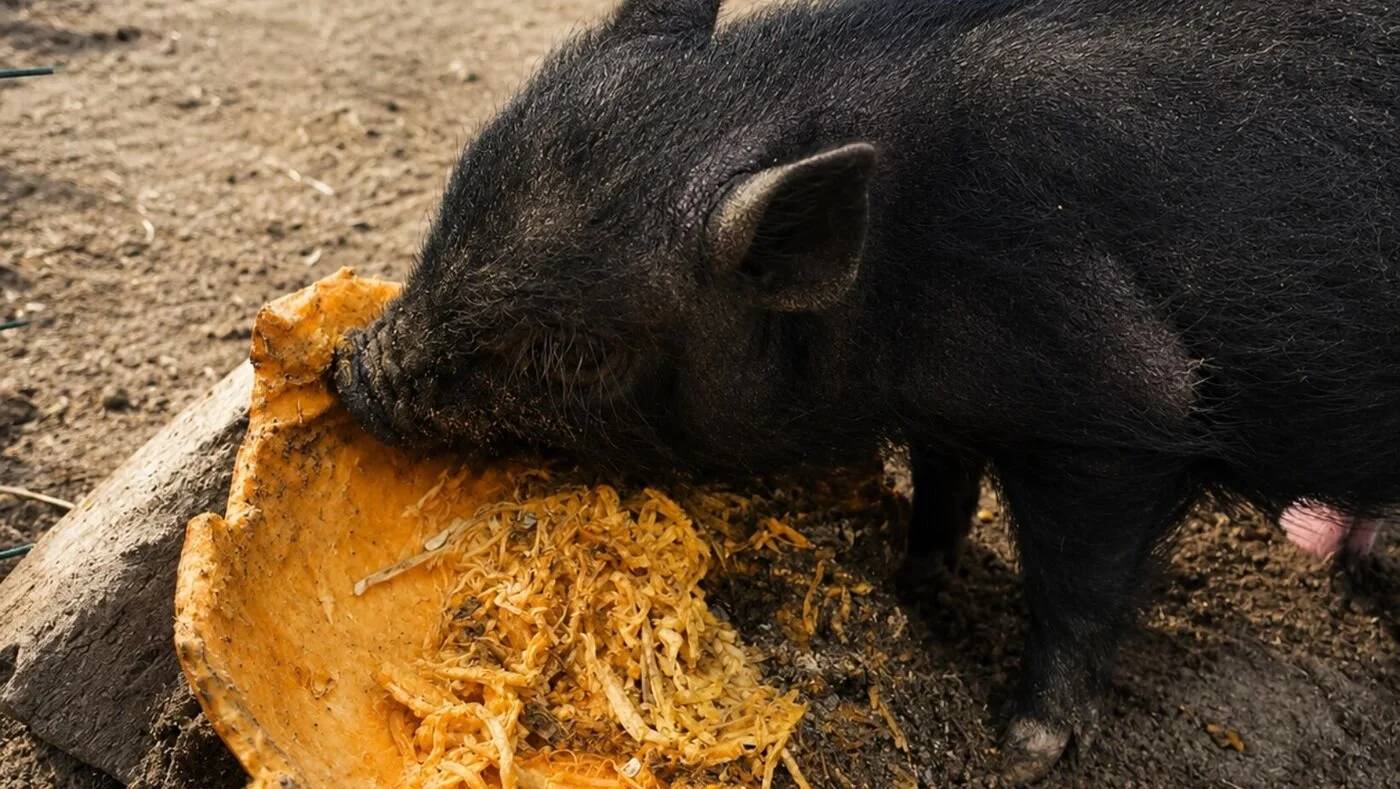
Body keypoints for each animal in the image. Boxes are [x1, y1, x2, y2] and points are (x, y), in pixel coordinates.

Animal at [333, 0, 1400, 782]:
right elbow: (943, 485)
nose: (350, 372)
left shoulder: (1122, 408)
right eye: (445, 220)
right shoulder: (947, 407)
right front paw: (912, 578)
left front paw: (1021, 752)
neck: (896, 267)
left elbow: (1077, 588)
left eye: (569, 355)